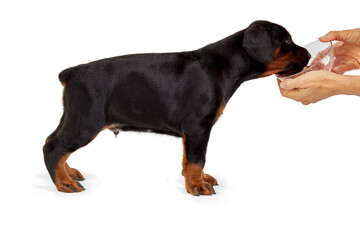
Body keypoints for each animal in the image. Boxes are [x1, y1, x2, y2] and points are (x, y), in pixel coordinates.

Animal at [43, 20, 310, 196]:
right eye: (287, 40)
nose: (308, 54)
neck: (226, 65)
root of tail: (71, 73)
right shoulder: (198, 126)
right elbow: (196, 158)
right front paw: (197, 185)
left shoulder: (191, 131)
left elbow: (187, 158)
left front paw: (197, 179)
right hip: (86, 121)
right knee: (54, 148)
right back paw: (63, 183)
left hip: (72, 116)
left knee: (52, 141)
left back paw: (67, 173)